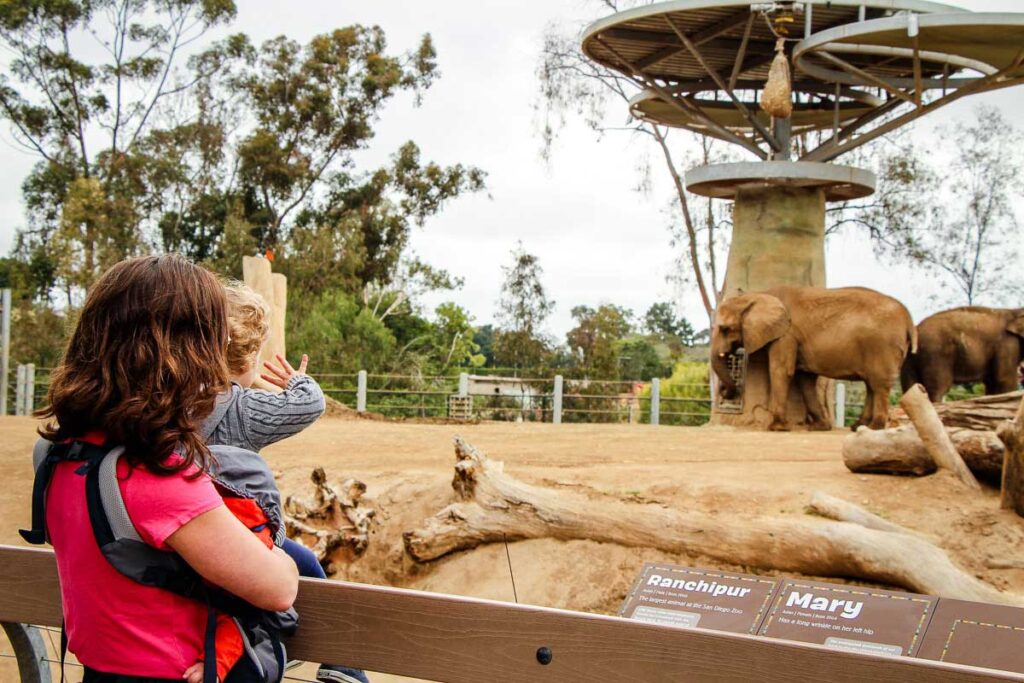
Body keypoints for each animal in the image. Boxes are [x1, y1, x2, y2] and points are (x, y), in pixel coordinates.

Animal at [712, 286, 921, 430]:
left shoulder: (786, 335)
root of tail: (908, 318)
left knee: (879, 384)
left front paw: (777, 427)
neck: (760, 294)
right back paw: (858, 427)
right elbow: (804, 378)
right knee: (871, 383)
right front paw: (819, 427)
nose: (724, 391)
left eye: (725, 329)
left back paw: (873, 428)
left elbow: (782, 370)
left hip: (882, 346)